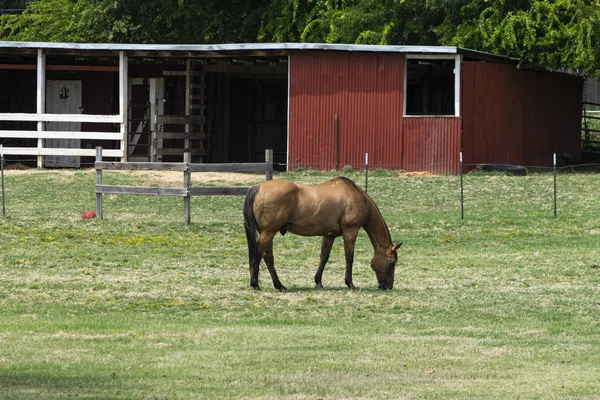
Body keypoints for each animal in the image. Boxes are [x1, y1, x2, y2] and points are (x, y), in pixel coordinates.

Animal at [241, 176, 400, 290]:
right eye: (392, 262)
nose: (388, 287)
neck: (358, 197)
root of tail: (258, 187)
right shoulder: (350, 230)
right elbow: (349, 257)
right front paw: (350, 283)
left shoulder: (329, 235)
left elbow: (324, 257)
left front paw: (318, 282)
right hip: (268, 232)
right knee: (258, 253)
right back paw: (255, 284)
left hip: (267, 233)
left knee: (268, 257)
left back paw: (279, 285)